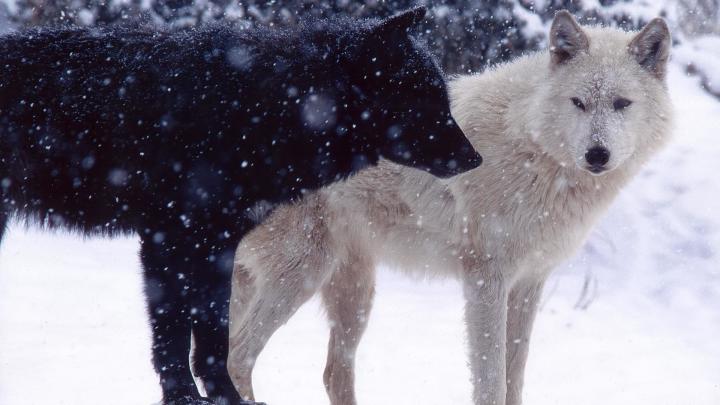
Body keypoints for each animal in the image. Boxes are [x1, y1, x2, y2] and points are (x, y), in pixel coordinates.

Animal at [0, 7, 482, 405]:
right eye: (427, 99)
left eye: (442, 98)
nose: (476, 159)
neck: (264, 106)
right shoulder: (168, 239)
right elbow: (174, 334)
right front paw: (183, 398)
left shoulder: (218, 245)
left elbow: (214, 337)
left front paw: (226, 398)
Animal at [227, 11, 672, 405]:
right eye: (578, 102)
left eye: (622, 103)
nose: (597, 155)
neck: (534, 150)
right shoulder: (485, 279)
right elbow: (491, 382)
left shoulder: (529, 282)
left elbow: (515, 376)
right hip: (303, 273)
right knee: (237, 359)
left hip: (352, 292)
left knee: (330, 372)